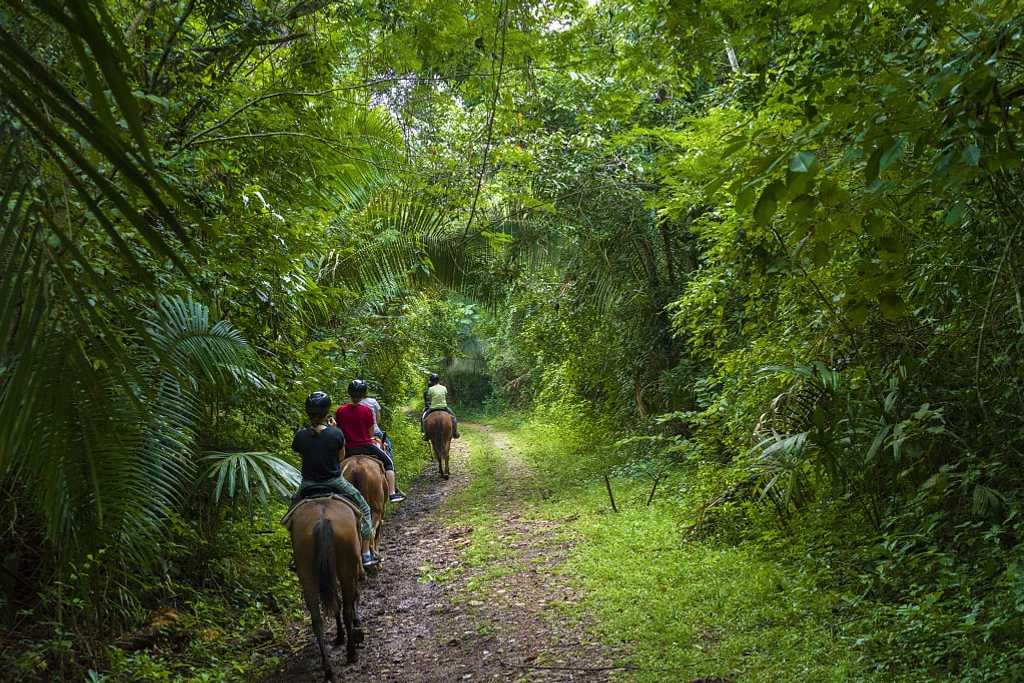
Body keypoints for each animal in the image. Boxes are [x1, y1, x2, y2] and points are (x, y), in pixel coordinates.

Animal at [288, 497, 364, 679]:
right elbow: (350, 598)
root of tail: (322, 520)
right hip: (346, 567)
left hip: (307, 574)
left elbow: (335, 603)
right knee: (346, 610)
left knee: (317, 620)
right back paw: (351, 653)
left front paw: (339, 636)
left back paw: (328, 669)